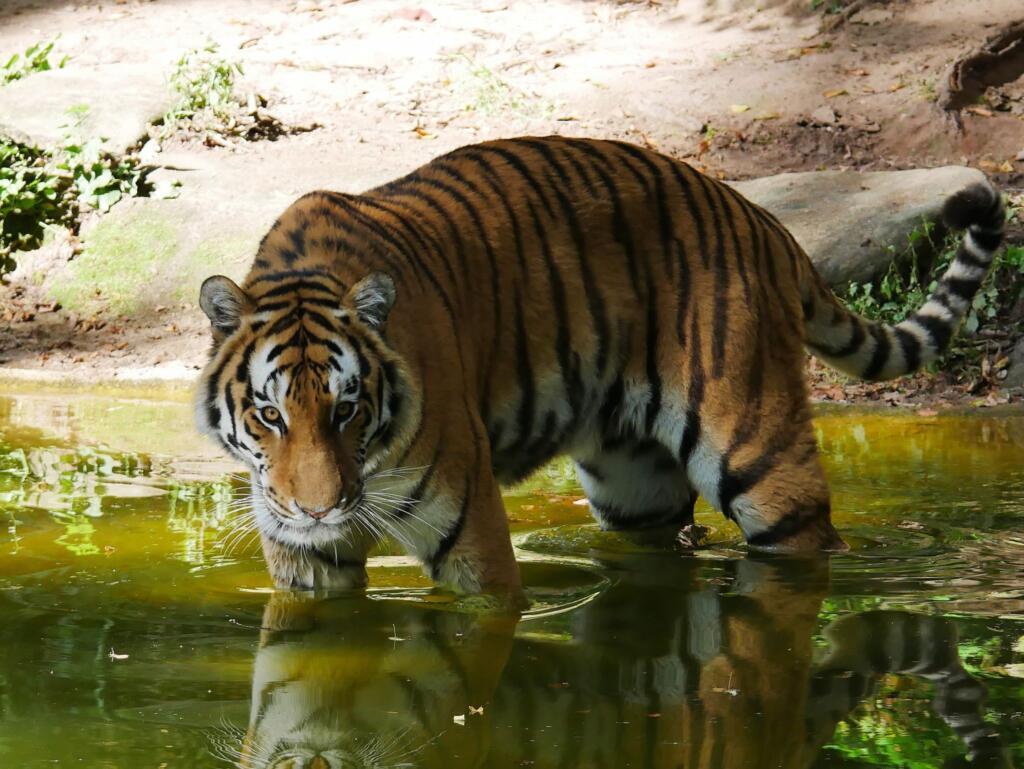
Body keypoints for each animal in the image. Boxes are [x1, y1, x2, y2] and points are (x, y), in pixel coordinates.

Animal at [193, 135, 1007, 593]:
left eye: (348, 408)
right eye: (269, 414)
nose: (318, 510)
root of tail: (762, 218)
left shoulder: (472, 540)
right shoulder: (306, 568)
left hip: (758, 454)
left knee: (804, 535)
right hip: (632, 484)